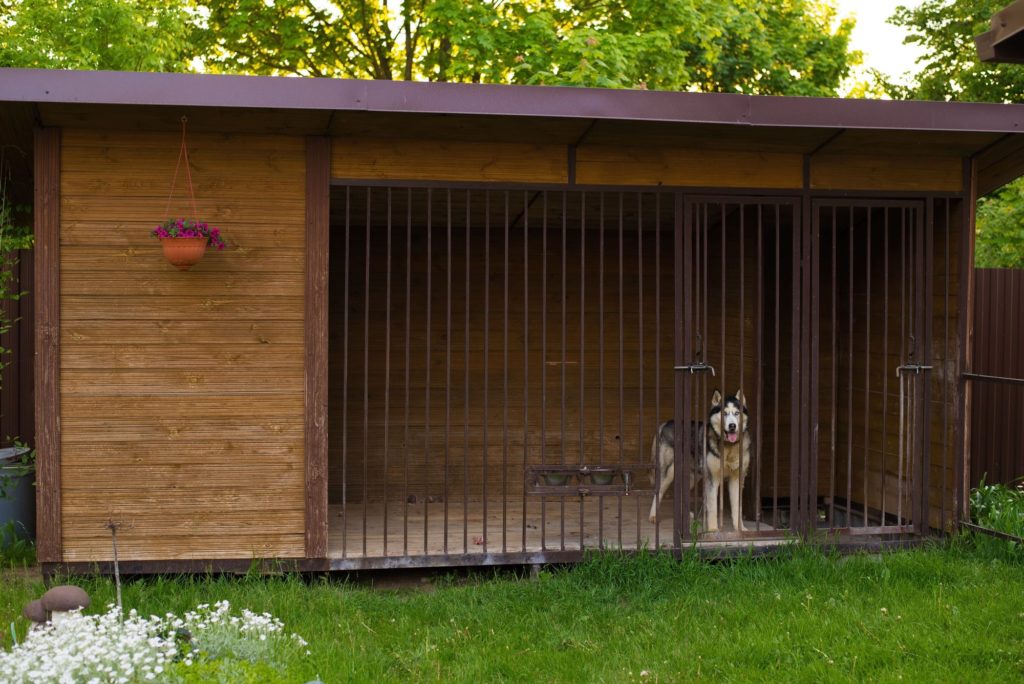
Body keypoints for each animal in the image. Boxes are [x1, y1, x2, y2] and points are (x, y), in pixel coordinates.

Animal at [647, 389, 753, 532]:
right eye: (724, 413)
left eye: (737, 413)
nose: (732, 426)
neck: (729, 447)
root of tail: (665, 423)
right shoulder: (712, 479)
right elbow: (713, 508)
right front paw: (713, 530)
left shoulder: (736, 478)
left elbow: (737, 508)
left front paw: (740, 529)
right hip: (668, 473)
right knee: (658, 492)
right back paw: (653, 516)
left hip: (693, 477)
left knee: (682, 492)